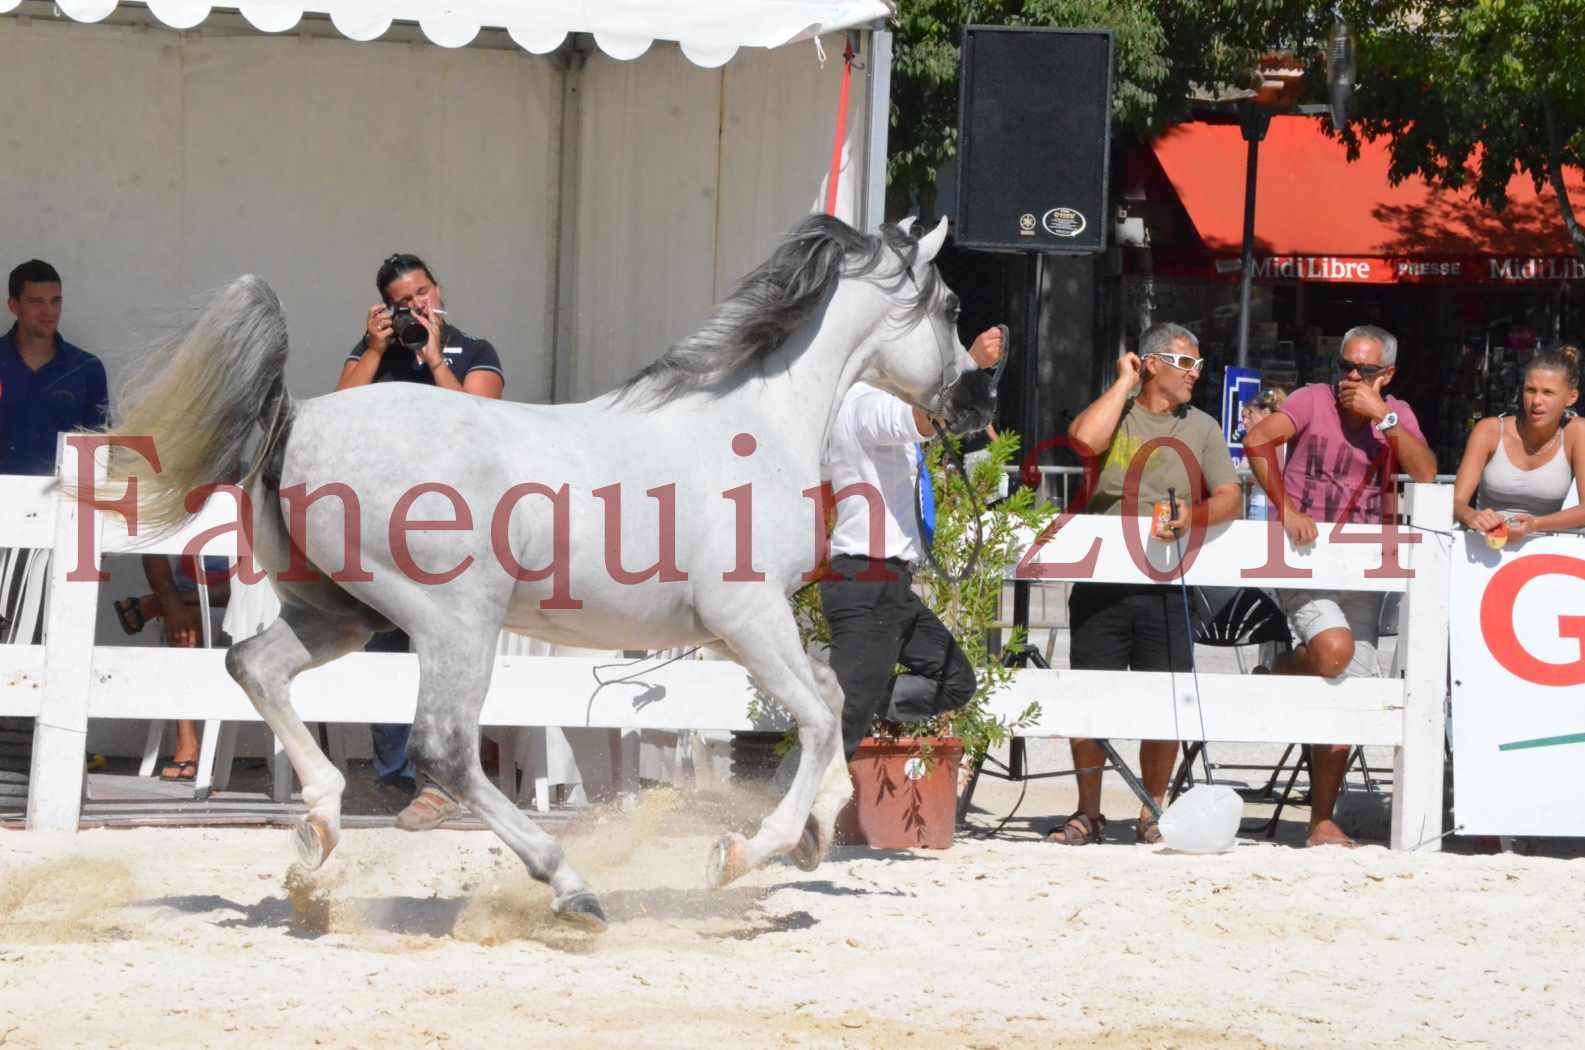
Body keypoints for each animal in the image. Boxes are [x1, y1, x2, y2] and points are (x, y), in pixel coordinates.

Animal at [105, 215, 982, 932]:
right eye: (951, 308)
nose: (973, 409)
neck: (750, 426)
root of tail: (296, 417)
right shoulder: (749, 617)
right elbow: (821, 716)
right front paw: (744, 852)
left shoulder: (731, 632)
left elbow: (830, 699)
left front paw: (813, 834)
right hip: (453, 622)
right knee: (444, 750)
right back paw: (570, 887)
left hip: (341, 615)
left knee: (252, 666)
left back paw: (316, 838)